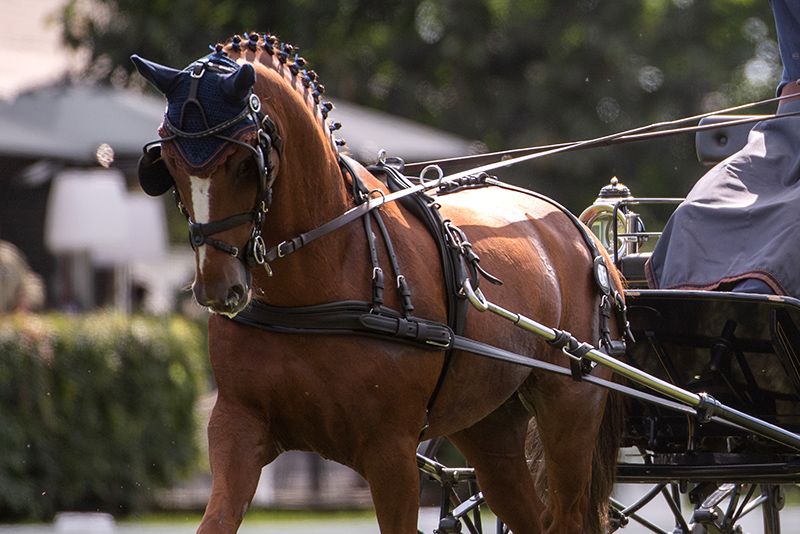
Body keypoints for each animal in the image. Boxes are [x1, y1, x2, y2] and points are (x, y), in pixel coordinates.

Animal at [131, 33, 625, 534]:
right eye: (168, 163)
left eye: (245, 164)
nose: (218, 287)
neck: (314, 283)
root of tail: (580, 233)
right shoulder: (237, 424)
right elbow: (217, 518)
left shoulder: (391, 450)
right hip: (489, 423)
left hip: (571, 408)